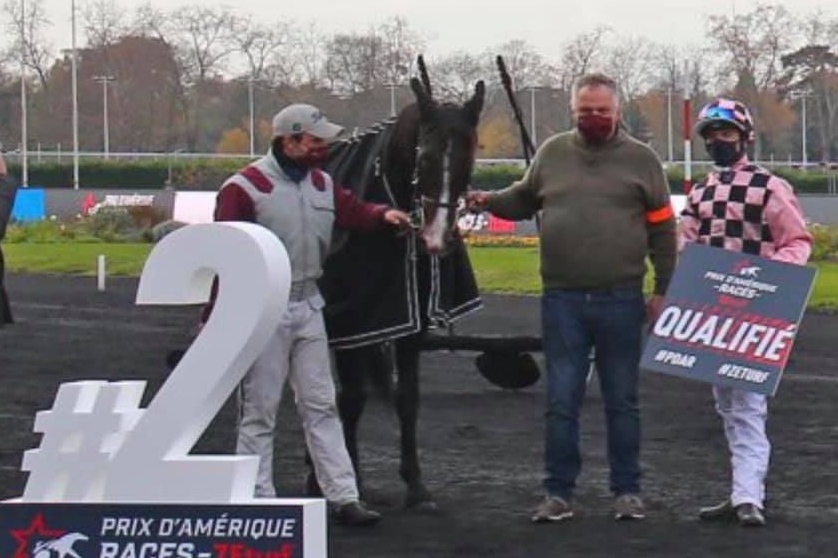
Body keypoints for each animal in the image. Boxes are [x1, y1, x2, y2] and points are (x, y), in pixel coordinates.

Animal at [314, 72, 488, 510]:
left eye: (469, 158)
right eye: (423, 158)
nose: (436, 237)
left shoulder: (409, 322)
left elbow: (407, 398)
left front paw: (416, 485)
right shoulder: (353, 320)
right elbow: (350, 399)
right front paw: (350, 484)